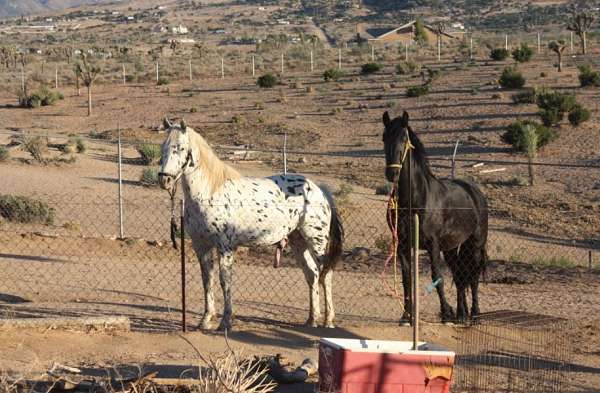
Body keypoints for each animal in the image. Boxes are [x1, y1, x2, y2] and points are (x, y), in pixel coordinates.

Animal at [157, 118, 344, 330]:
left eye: (180, 148)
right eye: (163, 147)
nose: (164, 179)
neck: (210, 192)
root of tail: (319, 189)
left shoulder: (225, 247)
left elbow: (225, 281)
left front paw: (225, 322)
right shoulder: (201, 246)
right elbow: (207, 280)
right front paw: (205, 320)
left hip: (316, 241)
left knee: (325, 275)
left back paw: (328, 321)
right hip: (298, 241)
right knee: (312, 275)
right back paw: (311, 320)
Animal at [382, 110, 490, 322]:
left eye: (404, 137)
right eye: (384, 138)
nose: (392, 173)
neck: (416, 200)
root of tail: (476, 192)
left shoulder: (433, 244)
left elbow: (436, 277)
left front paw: (446, 311)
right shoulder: (403, 245)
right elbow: (407, 279)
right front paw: (406, 315)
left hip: (474, 244)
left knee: (473, 277)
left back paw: (473, 313)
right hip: (453, 248)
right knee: (460, 277)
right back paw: (461, 314)